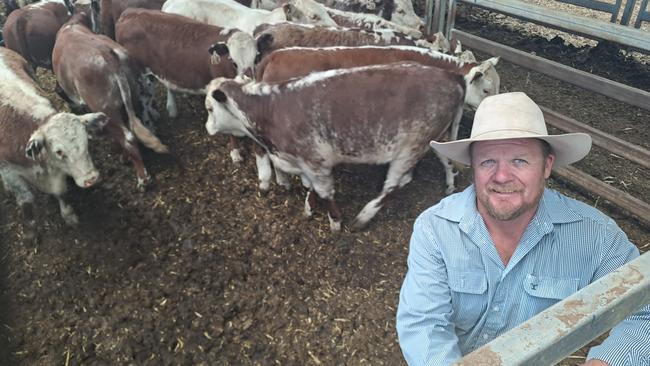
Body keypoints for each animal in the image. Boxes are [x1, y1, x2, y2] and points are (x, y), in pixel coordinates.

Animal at [0, 47, 108, 236]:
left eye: (86, 142)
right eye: (59, 151)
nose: (91, 178)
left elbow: (60, 192)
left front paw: (68, 214)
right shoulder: (9, 172)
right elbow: (26, 201)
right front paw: (30, 233)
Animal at [53, 11, 167, 190]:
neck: (71, 25)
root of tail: (109, 55)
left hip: (106, 108)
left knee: (127, 137)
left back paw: (143, 178)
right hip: (130, 98)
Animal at [202, 61, 466, 230]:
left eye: (210, 109)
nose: (207, 128)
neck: (273, 108)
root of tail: (450, 76)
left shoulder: (315, 161)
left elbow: (324, 192)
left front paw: (335, 220)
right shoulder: (303, 162)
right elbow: (310, 187)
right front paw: (309, 208)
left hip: (410, 148)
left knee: (391, 187)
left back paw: (362, 218)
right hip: (433, 138)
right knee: (442, 162)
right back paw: (450, 183)